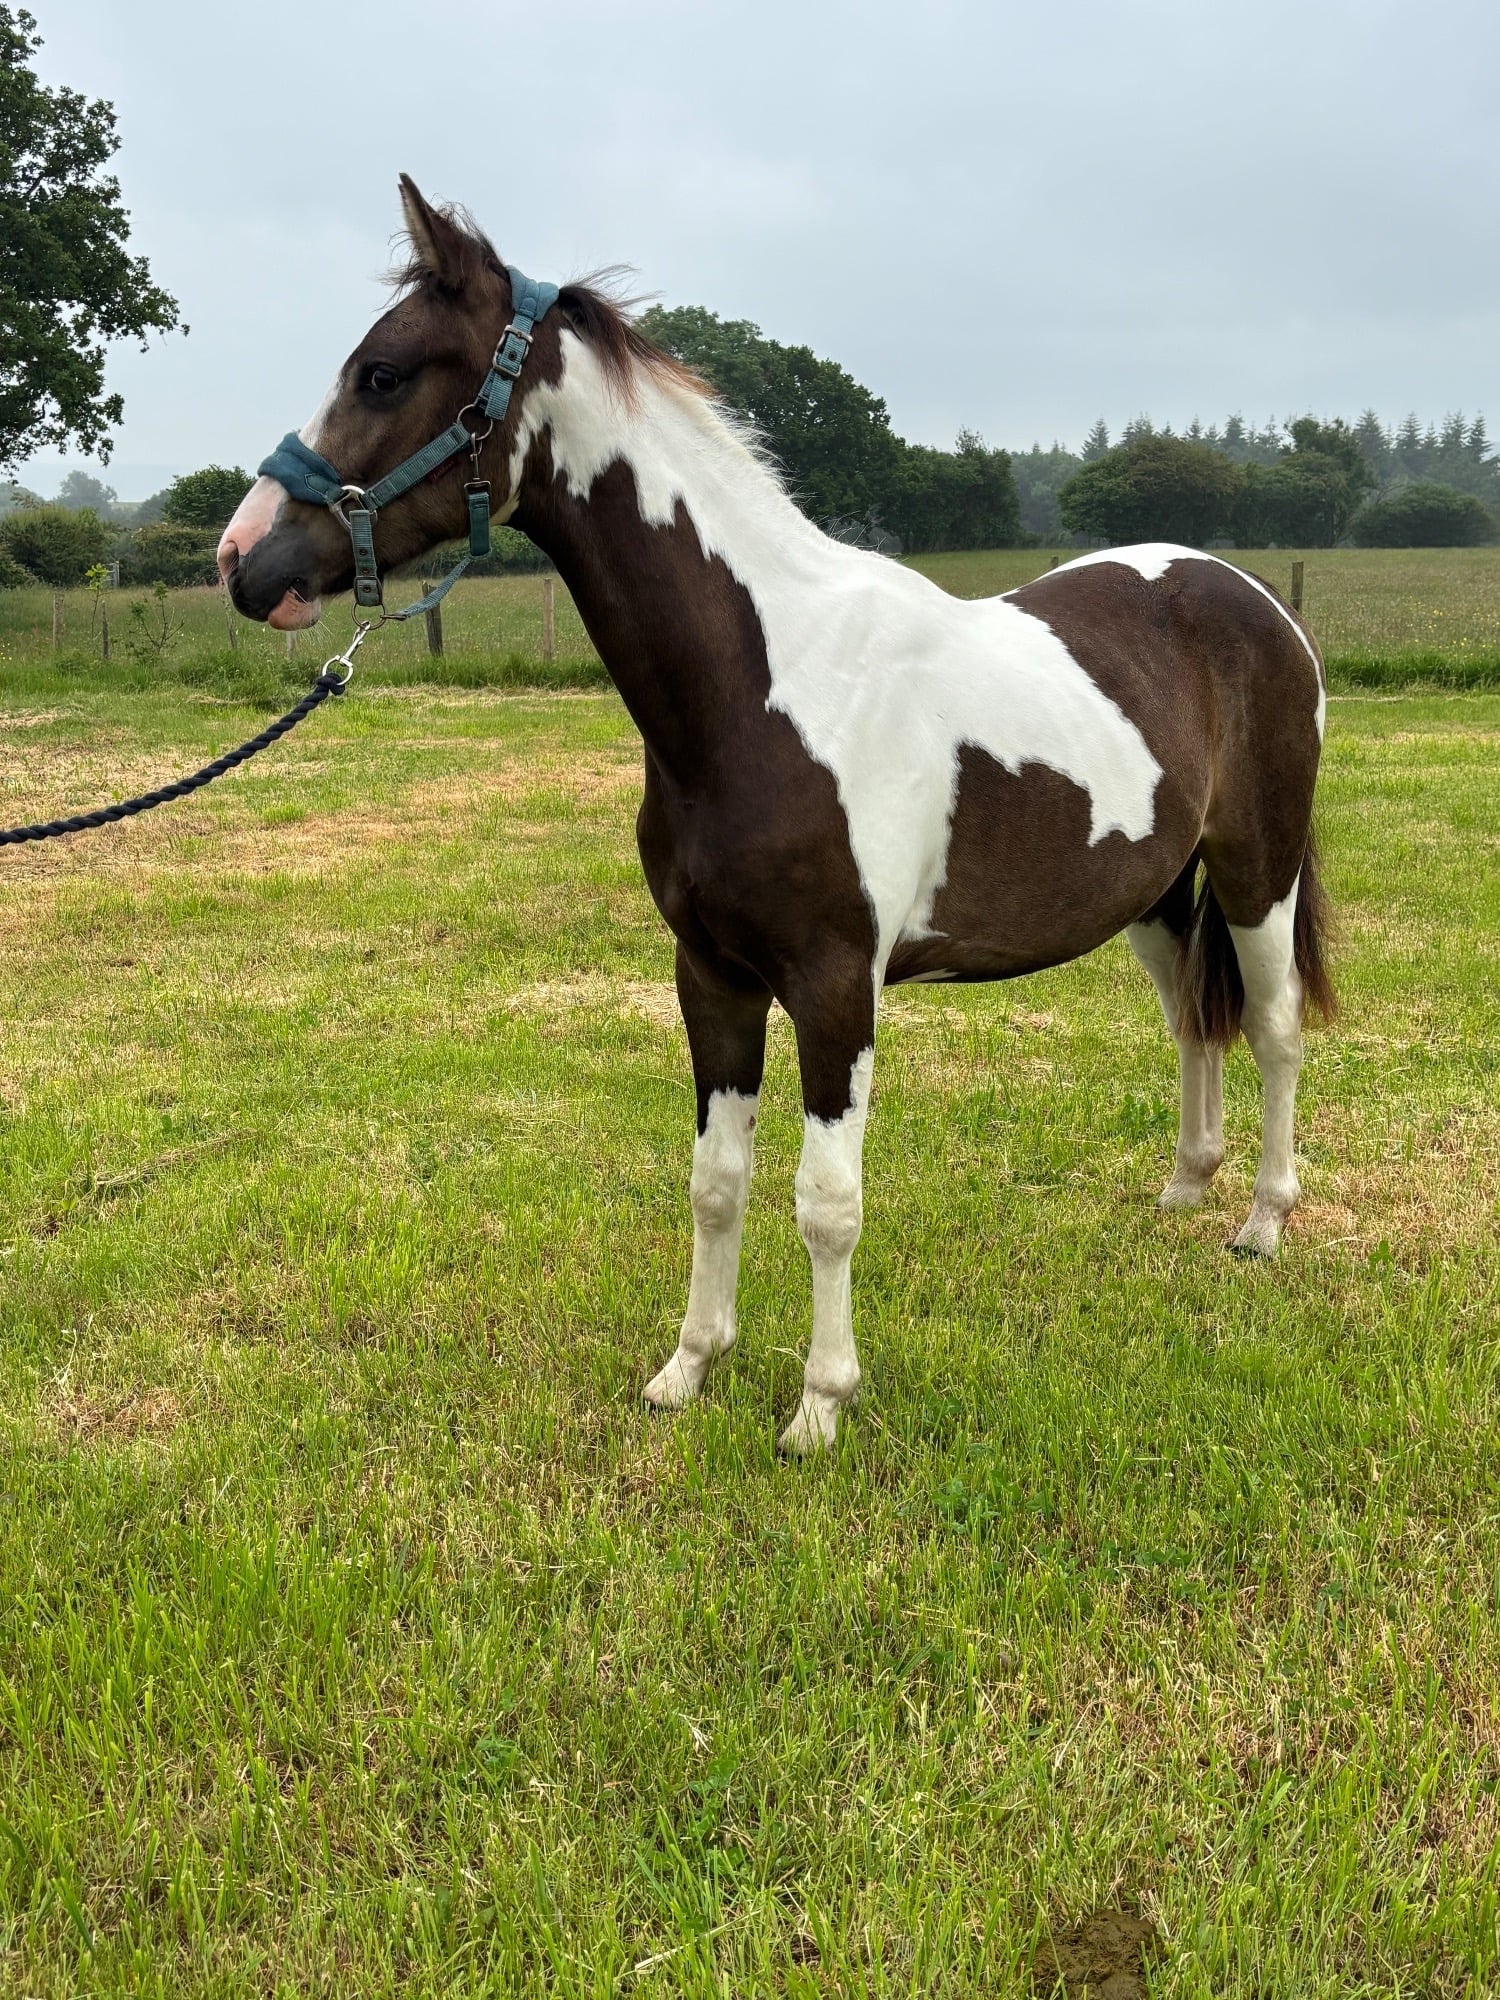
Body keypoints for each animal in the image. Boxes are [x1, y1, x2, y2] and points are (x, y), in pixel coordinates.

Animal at [219, 177, 1335, 1453]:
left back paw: (1261, 1221)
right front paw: (689, 1366)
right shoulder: (711, 974)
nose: (242, 559)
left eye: (384, 372)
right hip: (1153, 894)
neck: (764, 684)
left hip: (1256, 869)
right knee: (1196, 1020)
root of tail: (1251, 599)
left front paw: (819, 1404)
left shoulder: (835, 985)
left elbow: (827, 1200)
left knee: (1273, 1027)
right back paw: (1186, 1185)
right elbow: (717, 1181)